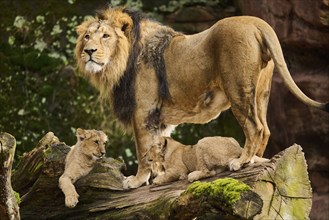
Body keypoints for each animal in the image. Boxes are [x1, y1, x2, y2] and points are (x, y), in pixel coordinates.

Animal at [75, 7, 326, 188]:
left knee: (255, 128)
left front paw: (136, 181)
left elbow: (143, 151)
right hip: (261, 93)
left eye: (106, 36)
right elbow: (158, 148)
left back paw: (241, 161)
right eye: (87, 37)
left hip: (238, 88)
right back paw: (255, 160)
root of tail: (256, 22)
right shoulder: (158, 119)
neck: (119, 63)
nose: (88, 51)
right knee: (265, 128)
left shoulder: (143, 111)